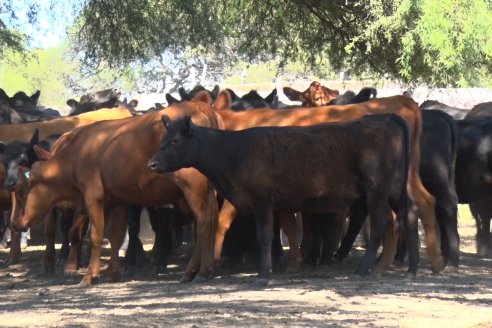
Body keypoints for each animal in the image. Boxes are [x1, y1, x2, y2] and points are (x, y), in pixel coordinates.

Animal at [12, 92, 223, 284]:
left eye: (23, 191)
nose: (14, 224)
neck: (80, 152)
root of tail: (199, 105)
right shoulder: (117, 200)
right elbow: (116, 234)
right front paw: (114, 272)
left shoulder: (92, 197)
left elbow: (97, 235)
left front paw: (90, 275)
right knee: (210, 220)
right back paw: (203, 269)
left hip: (193, 188)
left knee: (203, 221)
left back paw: (199, 270)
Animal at [149, 114, 412, 284]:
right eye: (162, 140)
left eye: (175, 141)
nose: (152, 163)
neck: (234, 152)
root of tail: (385, 119)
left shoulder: (262, 201)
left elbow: (264, 236)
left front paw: (263, 275)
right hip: (390, 189)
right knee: (400, 217)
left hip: (376, 190)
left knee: (379, 224)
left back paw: (364, 268)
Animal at [212, 91, 446, 276]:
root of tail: (401, 100)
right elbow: (289, 226)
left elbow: (222, 220)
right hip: (404, 179)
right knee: (418, 204)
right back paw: (425, 262)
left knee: (397, 214)